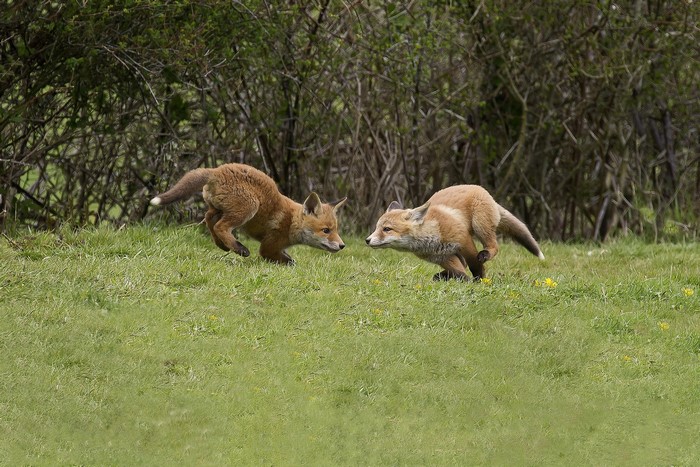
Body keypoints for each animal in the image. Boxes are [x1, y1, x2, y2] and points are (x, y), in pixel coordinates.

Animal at [150, 163, 347, 264]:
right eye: (326, 230)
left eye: (336, 230)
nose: (342, 245)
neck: (292, 222)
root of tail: (216, 170)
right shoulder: (268, 247)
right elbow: (284, 259)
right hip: (249, 207)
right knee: (221, 226)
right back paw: (238, 248)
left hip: (219, 208)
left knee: (208, 219)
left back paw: (222, 245)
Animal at [365, 185, 545, 281]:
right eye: (377, 228)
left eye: (386, 229)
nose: (367, 240)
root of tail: (481, 189)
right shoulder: (443, 257)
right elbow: (459, 272)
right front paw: (463, 280)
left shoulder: (464, 242)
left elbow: (475, 266)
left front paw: (479, 281)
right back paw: (443, 276)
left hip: (480, 226)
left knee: (494, 246)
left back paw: (485, 254)